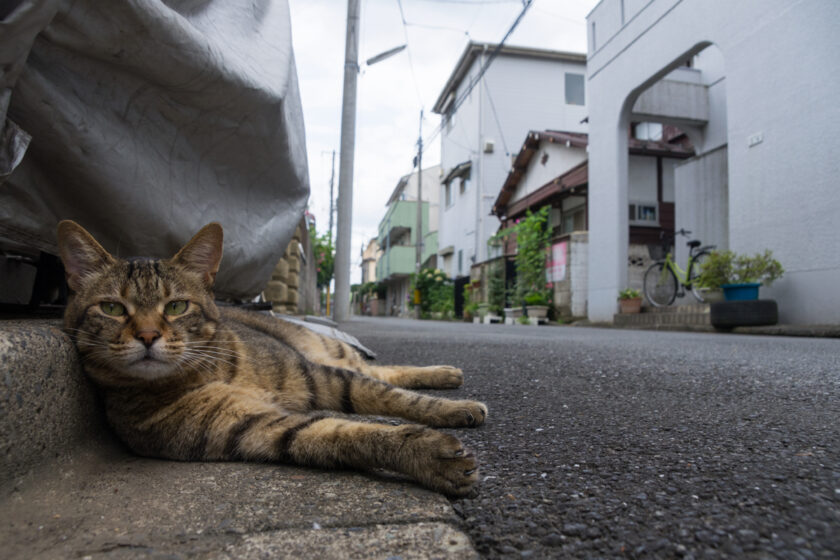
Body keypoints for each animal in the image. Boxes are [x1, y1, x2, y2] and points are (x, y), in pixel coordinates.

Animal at [57, 221, 486, 496]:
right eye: (112, 308)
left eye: (177, 306)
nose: (147, 336)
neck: (208, 370)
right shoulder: (256, 428)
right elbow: (342, 433)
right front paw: (428, 455)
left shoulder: (320, 376)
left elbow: (391, 398)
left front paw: (452, 409)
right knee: (379, 372)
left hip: (331, 353)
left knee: (375, 370)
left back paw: (446, 375)